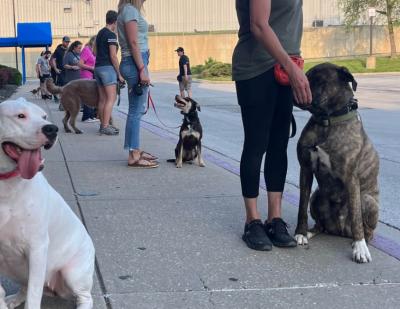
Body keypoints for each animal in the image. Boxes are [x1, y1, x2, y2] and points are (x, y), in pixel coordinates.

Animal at [0, 98, 94, 308]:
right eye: (20, 116)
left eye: (43, 116)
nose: (52, 129)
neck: (5, 184)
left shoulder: (37, 247)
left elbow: (33, 297)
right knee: (25, 286)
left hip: (72, 273)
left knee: (85, 296)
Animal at [296, 62, 380, 262]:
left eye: (318, 80)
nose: (297, 85)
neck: (327, 121)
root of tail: (340, 230)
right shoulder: (306, 169)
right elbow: (301, 206)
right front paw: (300, 233)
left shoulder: (351, 177)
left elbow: (356, 217)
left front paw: (360, 248)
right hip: (317, 195)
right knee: (320, 224)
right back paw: (311, 232)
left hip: (368, 200)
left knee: (366, 229)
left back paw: (360, 242)